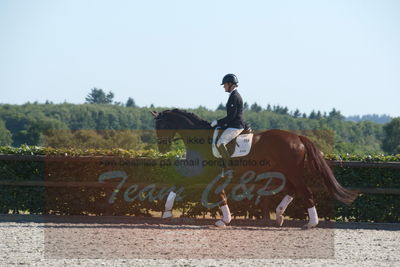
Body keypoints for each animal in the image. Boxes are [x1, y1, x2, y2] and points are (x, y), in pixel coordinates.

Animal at [150, 109, 356, 230]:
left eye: (163, 125)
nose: (162, 148)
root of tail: (297, 137)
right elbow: (209, 192)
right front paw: (224, 219)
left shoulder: (205, 173)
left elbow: (186, 185)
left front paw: (167, 212)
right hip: (286, 172)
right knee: (293, 190)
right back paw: (279, 216)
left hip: (292, 171)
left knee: (305, 191)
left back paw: (311, 222)